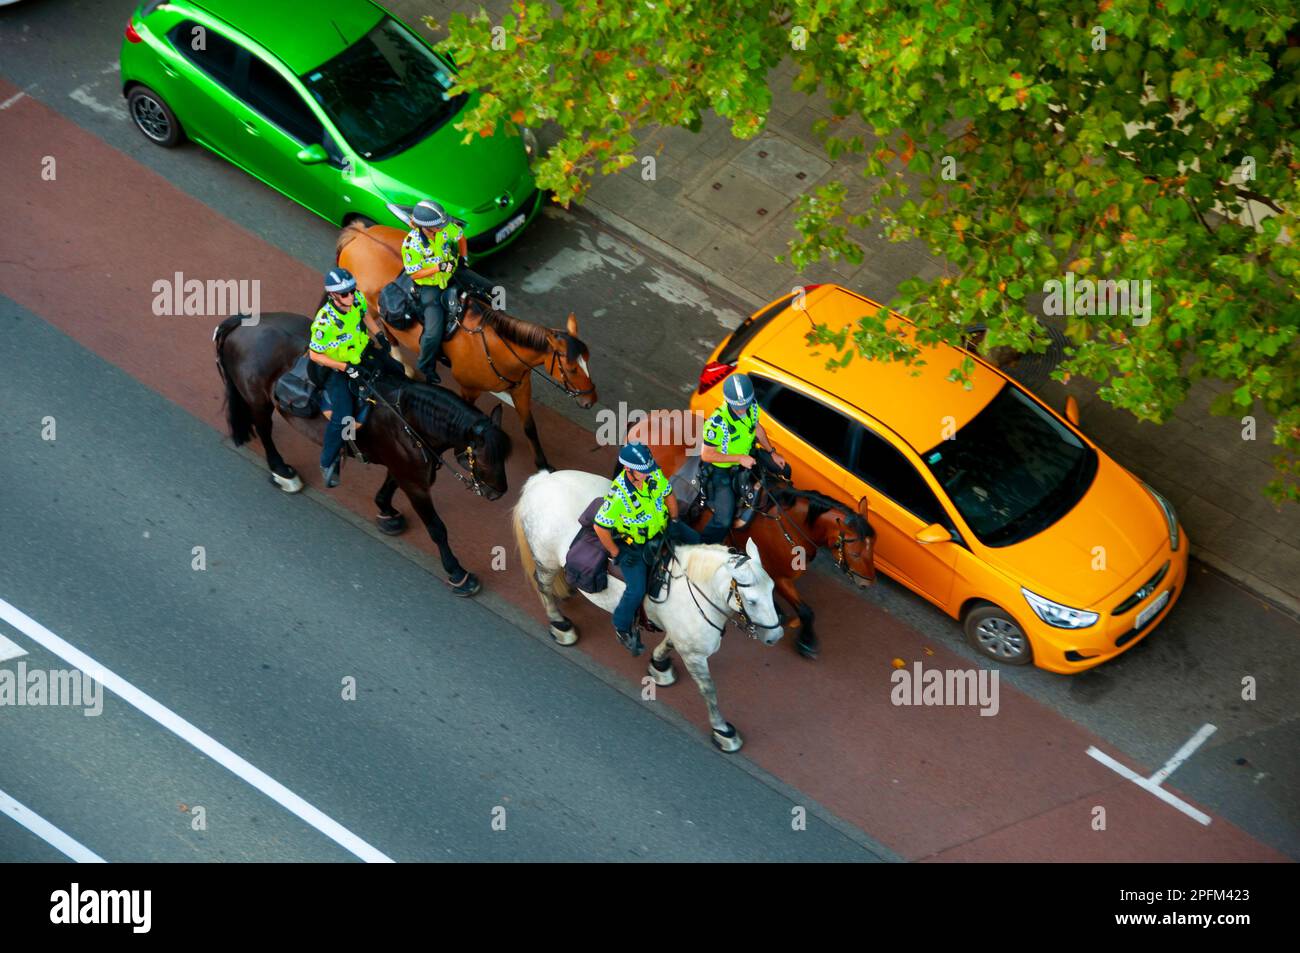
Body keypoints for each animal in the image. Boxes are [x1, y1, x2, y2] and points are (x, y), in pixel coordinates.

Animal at [213, 312, 512, 595]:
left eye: (505, 457)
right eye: (484, 458)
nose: (497, 492)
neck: (408, 418)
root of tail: (240, 321)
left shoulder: (406, 467)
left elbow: (388, 487)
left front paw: (386, 512)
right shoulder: (414, 482)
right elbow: (437, 528)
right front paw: (458, 573)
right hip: (258, 400)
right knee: (264, 430)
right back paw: (283, 472)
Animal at [335, 219, 598, 473]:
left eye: (588, 361)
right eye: (572, 368)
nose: (590, 401)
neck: (497, 349)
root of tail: (359, 234)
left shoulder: (522, 388)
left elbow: (530, 428)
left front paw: (543, 464)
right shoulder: (469, 390)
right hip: (368, 309)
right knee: (383, 333)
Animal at [512, 468, 780, 748]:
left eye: (772, 589)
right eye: (752, 600)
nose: (776, 636)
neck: (696, 587)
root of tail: (541, 480)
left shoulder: (681, 637)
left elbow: (668, 645)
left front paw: (659, 665)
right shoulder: (694, 655)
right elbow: (709, 691)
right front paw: (722, 730)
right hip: (546, 561)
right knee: (543, 587)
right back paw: (560, 625)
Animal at [626, 408, 873, 660]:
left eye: (872, 548)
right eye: (855, 552)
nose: (867, 583)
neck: (788, 523)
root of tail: (645, 421)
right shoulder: (780, 576)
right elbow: (805, 610)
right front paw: (806, 639)